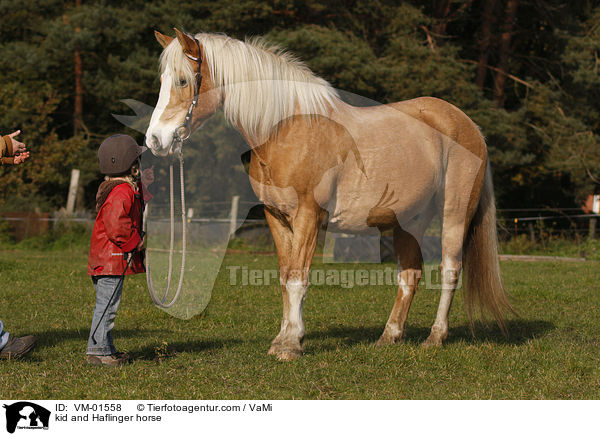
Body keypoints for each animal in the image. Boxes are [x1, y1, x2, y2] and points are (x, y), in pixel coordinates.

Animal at [148, 28, 512, 362]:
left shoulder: (309, 215)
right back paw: (389, 336)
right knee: (409, 274)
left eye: (183, 80)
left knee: (450, 269)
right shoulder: (276, 217)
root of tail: (469, 125)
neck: (286, 130)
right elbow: (285, 277)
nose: (155, 139)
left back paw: (435, 338)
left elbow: (298, 278)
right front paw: (284, 339)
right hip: (411, 220)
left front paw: (290, 346)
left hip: (454, 213)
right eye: (163, 79)